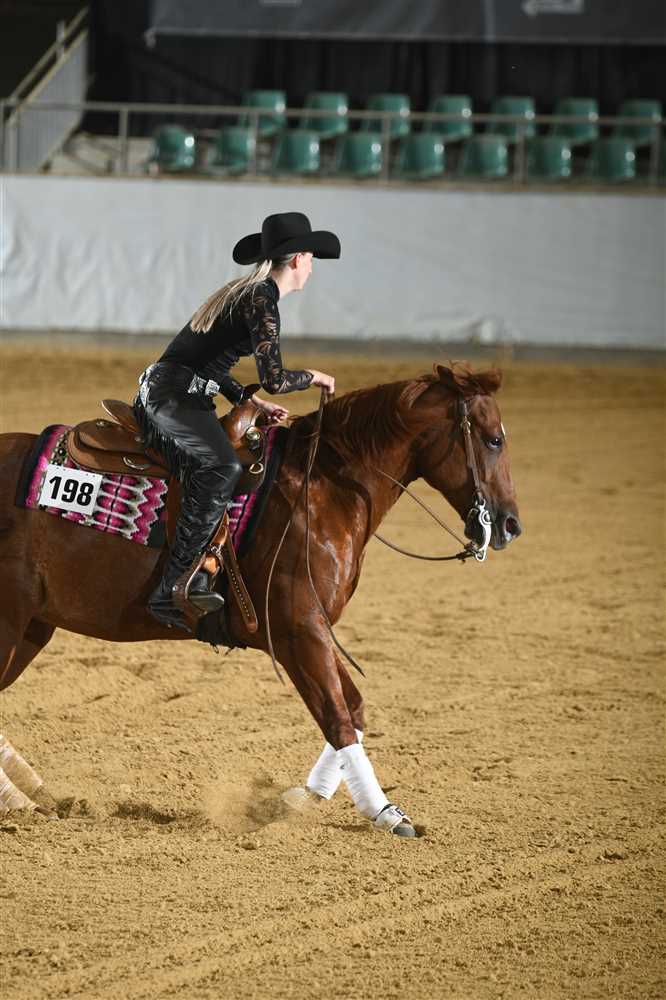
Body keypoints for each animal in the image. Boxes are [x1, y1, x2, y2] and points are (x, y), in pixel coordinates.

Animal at [0, 363, 521, 835]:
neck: (323, 490)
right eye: (494, 439)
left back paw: (35, 792)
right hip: (12, 622)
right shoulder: (298, 631)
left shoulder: (313, 629)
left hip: (34, 627)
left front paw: (303, 797)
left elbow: (352, 709)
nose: (510, 524)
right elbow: (337, 717)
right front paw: (386, 812)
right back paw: (21, 802)